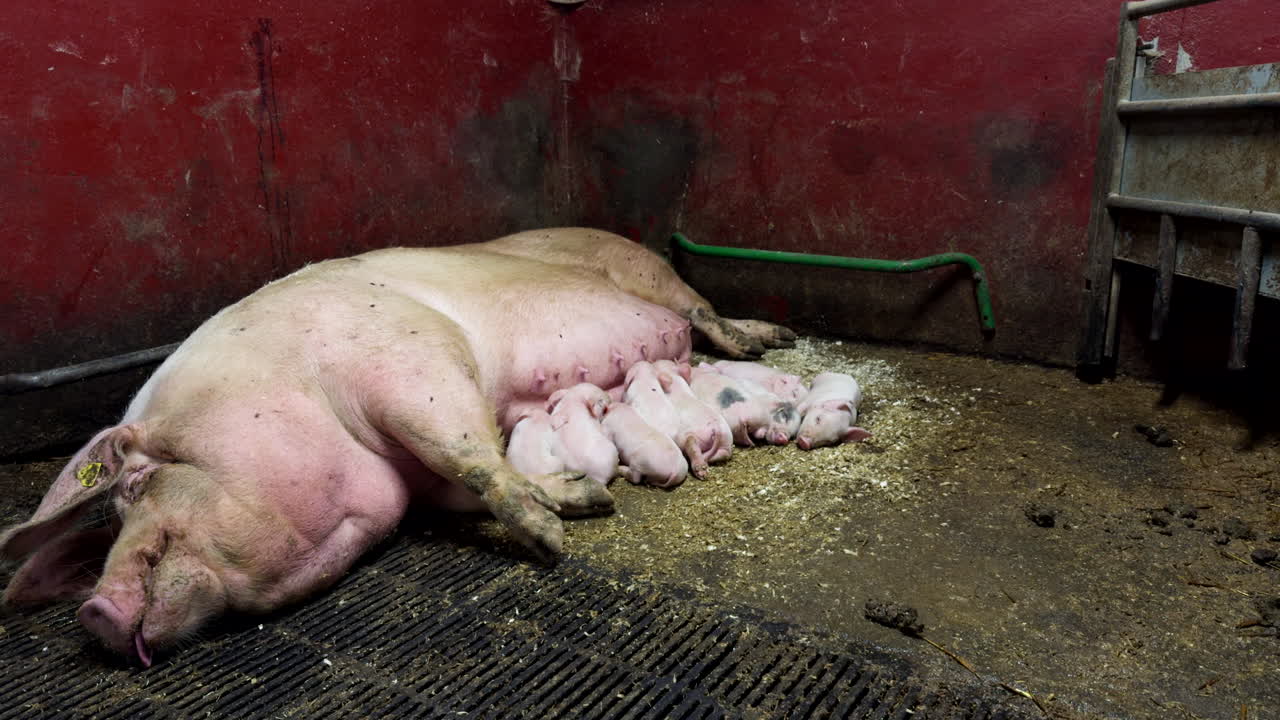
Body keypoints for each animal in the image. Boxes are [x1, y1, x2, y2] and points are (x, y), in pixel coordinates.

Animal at [0, 227, 796, 665]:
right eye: (110, 516)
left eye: (138, 486)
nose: (94, 612)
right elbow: (467, 480)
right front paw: (580, 498)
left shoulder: (409, 358)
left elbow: (467, 455)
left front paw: (554, 538)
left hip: (646, 274)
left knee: (704, 314)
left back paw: (772, 339)